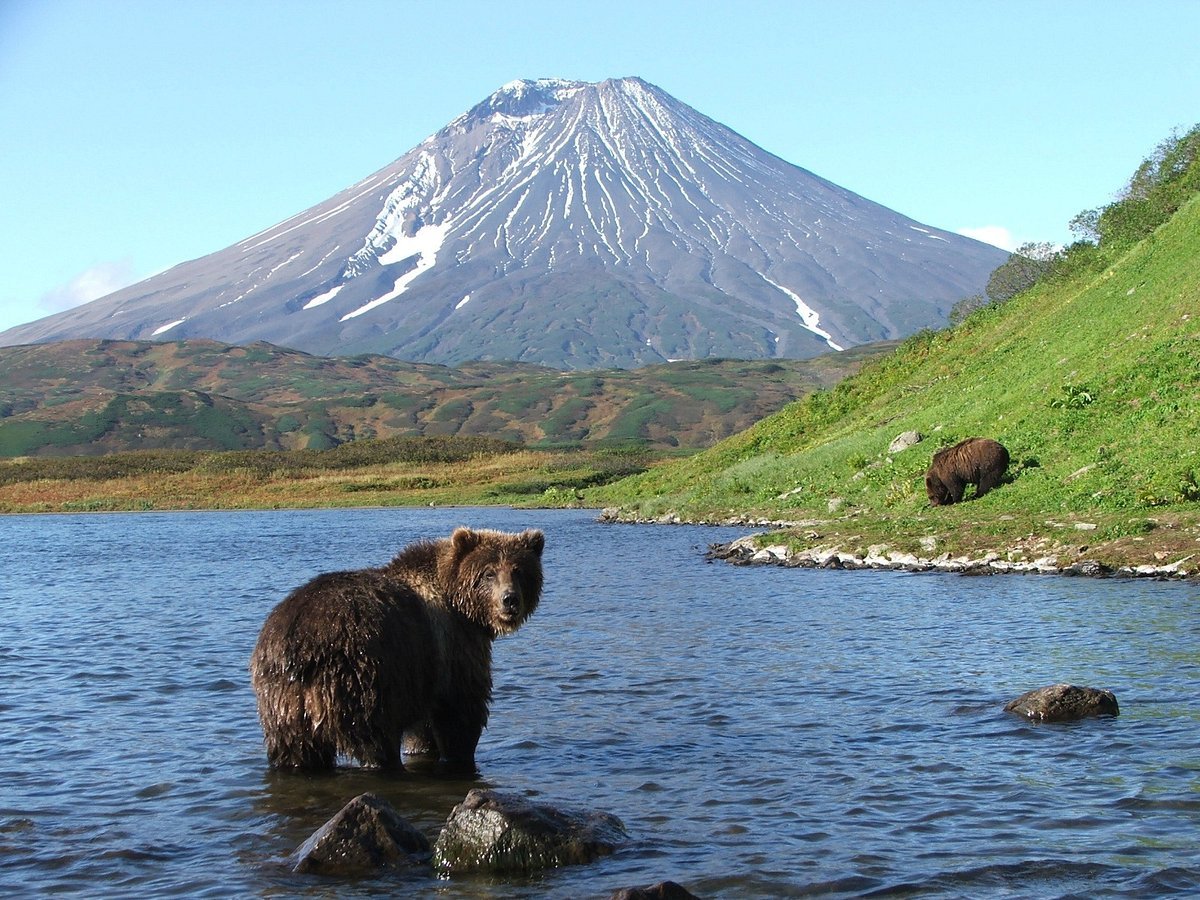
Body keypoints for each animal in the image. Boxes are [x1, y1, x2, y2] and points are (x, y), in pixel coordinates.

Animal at [250, 528, 547, 777]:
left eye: (519, 571)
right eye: (488, 573)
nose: (510, 600)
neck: (461, 607)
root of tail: (298, 647)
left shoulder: (424, 670)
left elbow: (423, 727)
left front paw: (423, 748)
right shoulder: (452, 647)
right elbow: (461, 708)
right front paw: (459, 753)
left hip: (282, 701)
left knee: (294, 750)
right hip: (359, 677)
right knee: (373, 738)